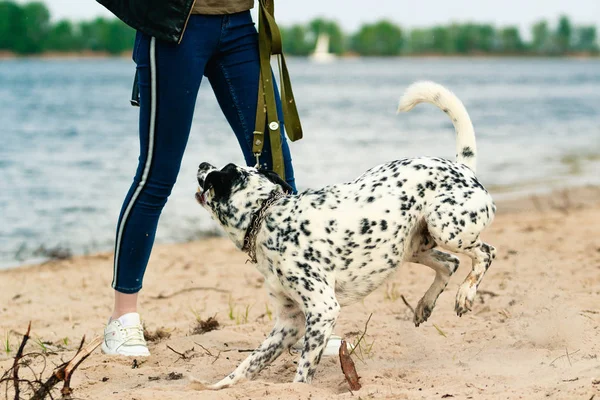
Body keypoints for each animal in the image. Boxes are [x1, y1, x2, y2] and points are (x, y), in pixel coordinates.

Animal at [193, 79, 496, 390]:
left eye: (218, 174)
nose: (202, 163)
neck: (266, 217)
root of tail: (462, 168)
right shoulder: (289, 321)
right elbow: (246, 366)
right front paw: (216, 387)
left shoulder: (322, 310)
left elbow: (302, 373)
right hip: (411, 247)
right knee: (450, 263)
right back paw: (425, 304)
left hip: (445, 228)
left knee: (485, 253)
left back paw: (466, 293)